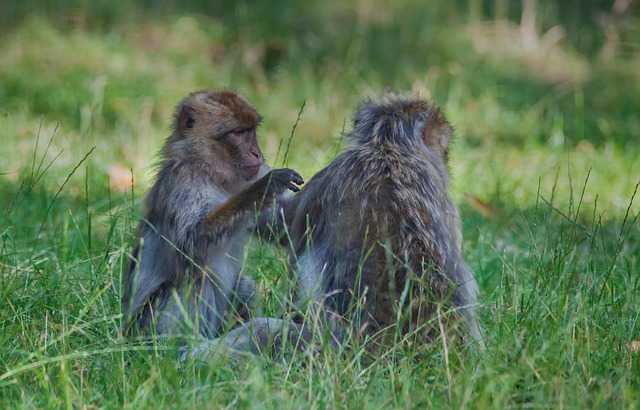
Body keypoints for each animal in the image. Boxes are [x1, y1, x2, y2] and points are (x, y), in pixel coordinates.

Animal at [124, 89, 306, 342]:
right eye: (238, 132)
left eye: (251, 130)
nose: (256, 153)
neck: (211, 172)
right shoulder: (183, 186)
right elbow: (191, 245)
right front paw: (262, 188)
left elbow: (284, 225)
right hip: (146, 324)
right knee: (196, 282)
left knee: (245, 286)